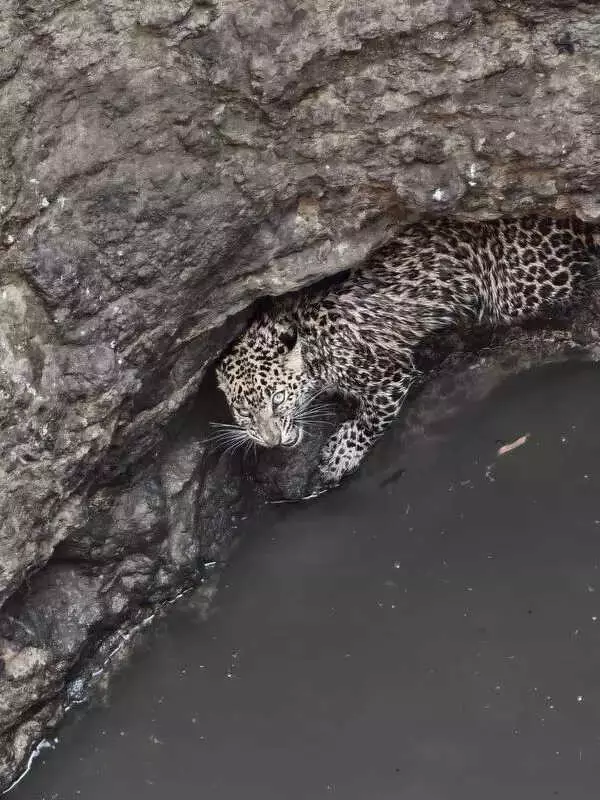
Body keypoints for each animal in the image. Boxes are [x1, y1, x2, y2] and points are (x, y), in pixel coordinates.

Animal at [216, 216, 599, 488]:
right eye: (245, 413)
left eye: (278, 399)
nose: (271, 441)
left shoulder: (388, 376)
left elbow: (369, 421)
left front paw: (339, 456)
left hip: (515, 292)